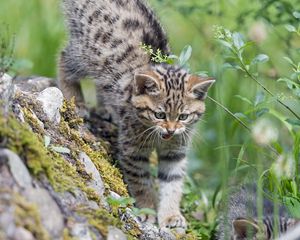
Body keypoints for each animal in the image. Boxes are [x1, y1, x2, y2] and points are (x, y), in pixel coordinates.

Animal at [58, 0, 214, 230]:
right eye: (159, 114)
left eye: (183, 117)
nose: (170, 130)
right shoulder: (133, 150)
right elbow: (141, 181)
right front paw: (148, 210)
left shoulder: (175, 151)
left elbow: (173, 182)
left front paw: (170, 214)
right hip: (87, 52)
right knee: (64, 57)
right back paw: (75, 100)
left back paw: (106, 109)